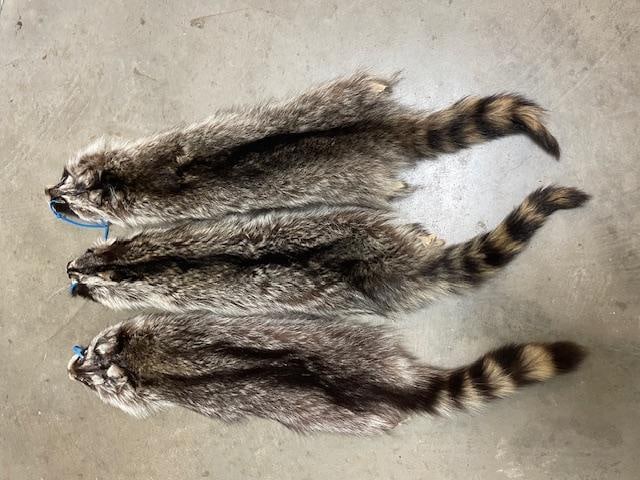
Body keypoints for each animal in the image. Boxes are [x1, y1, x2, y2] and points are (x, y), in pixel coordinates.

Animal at [46, 72, 560, 226]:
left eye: (71, 201)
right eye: (64, 174)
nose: (47, 194)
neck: (120, 177)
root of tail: (384, 130)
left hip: (355, 176)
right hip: (343, 96)